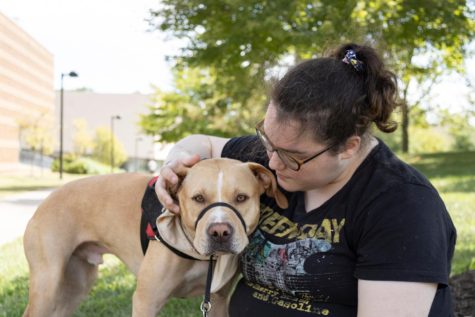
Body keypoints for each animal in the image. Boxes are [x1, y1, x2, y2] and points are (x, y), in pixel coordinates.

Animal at [22, 158, 288, 316]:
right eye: (198, 198)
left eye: (241, 198)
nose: (220, 231)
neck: (198, 254)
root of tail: (45, 200)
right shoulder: (145, 300)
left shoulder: (218, 301)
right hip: (47, 286)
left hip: (75, 286)